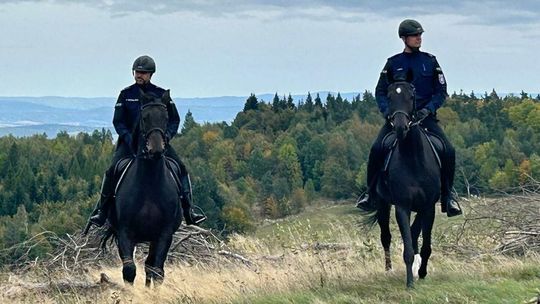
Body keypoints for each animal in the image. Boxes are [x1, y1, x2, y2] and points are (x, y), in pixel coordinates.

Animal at [108, 91, 184, 288]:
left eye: (166, 117)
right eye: (144, 117)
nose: (156, 150)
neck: (149, 183)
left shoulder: (164, 234)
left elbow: (157, 270)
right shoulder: (125, 233)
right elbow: (129, 270)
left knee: (152, 267)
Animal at [360, 80, 440, 288]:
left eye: (411, 97)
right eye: (389, 97)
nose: (400, 127)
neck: (414, 159)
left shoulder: (428, 207)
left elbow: (424, 244)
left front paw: (422, 272)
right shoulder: (402, 207)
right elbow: (408, 250)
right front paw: (410, 282)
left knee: (414, 232)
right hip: (382, 203)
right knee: (386, 236)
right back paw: (388, 269)